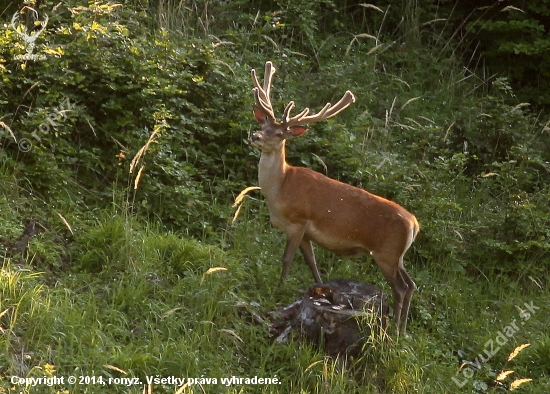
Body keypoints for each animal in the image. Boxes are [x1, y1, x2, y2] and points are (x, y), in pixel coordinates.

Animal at [248, 61, 420, 336]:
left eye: (280, 134)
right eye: (264, 126)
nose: (255, 136)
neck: (280, 188)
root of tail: (414, 223)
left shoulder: (297, 221)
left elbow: (287, 259)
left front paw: (279, 287)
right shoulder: (306, 232)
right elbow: (312, 263)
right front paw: (321, 290)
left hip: (386, 251)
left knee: (401, 288)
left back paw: (395, 328)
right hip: (397, 255)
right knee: (411, 283)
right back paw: (402, 330)